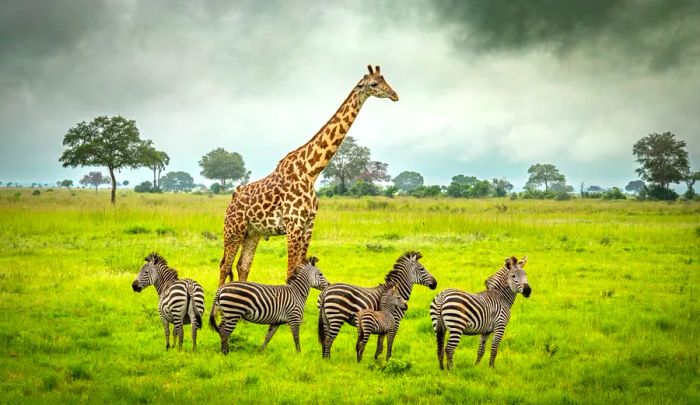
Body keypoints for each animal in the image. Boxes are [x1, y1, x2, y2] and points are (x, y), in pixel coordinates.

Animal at [219, 64, 400, 284]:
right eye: (374, 84)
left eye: (385, 80)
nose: (394, 95)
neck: (311, 171)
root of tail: (232, 198)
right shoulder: (294, 223)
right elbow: (290, 273)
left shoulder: (308, 225)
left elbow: (300, 268)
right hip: (234, 229)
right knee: (224, 266)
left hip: (252, 233)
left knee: (242, 266)